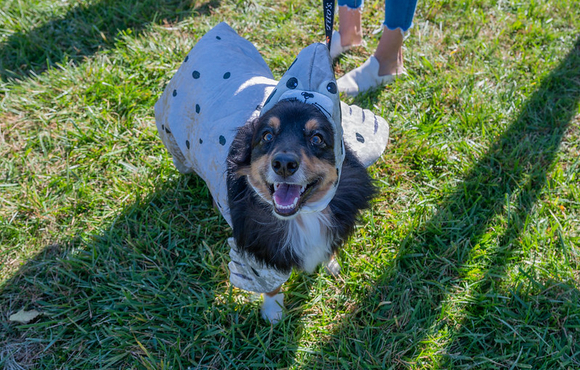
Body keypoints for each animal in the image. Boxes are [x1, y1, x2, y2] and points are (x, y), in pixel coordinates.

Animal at [227, 99, 376, 322]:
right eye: (267, 135)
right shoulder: (259, 254)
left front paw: (330, 262)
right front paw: (273, 312)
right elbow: (271, 286)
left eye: (317, 138)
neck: (303, 216)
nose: (284, 164)